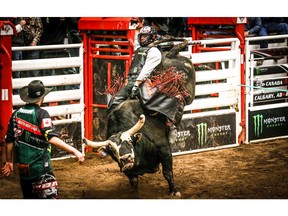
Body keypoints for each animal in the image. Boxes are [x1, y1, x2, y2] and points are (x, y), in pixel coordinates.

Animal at [82, 37, 196, 197]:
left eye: (130, 141)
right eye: (112, 150)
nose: (126, 158)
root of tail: (169, 54)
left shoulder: (164, 150)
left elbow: (168, 173)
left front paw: (174, 191)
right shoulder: (129, 171)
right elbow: (134, 183)